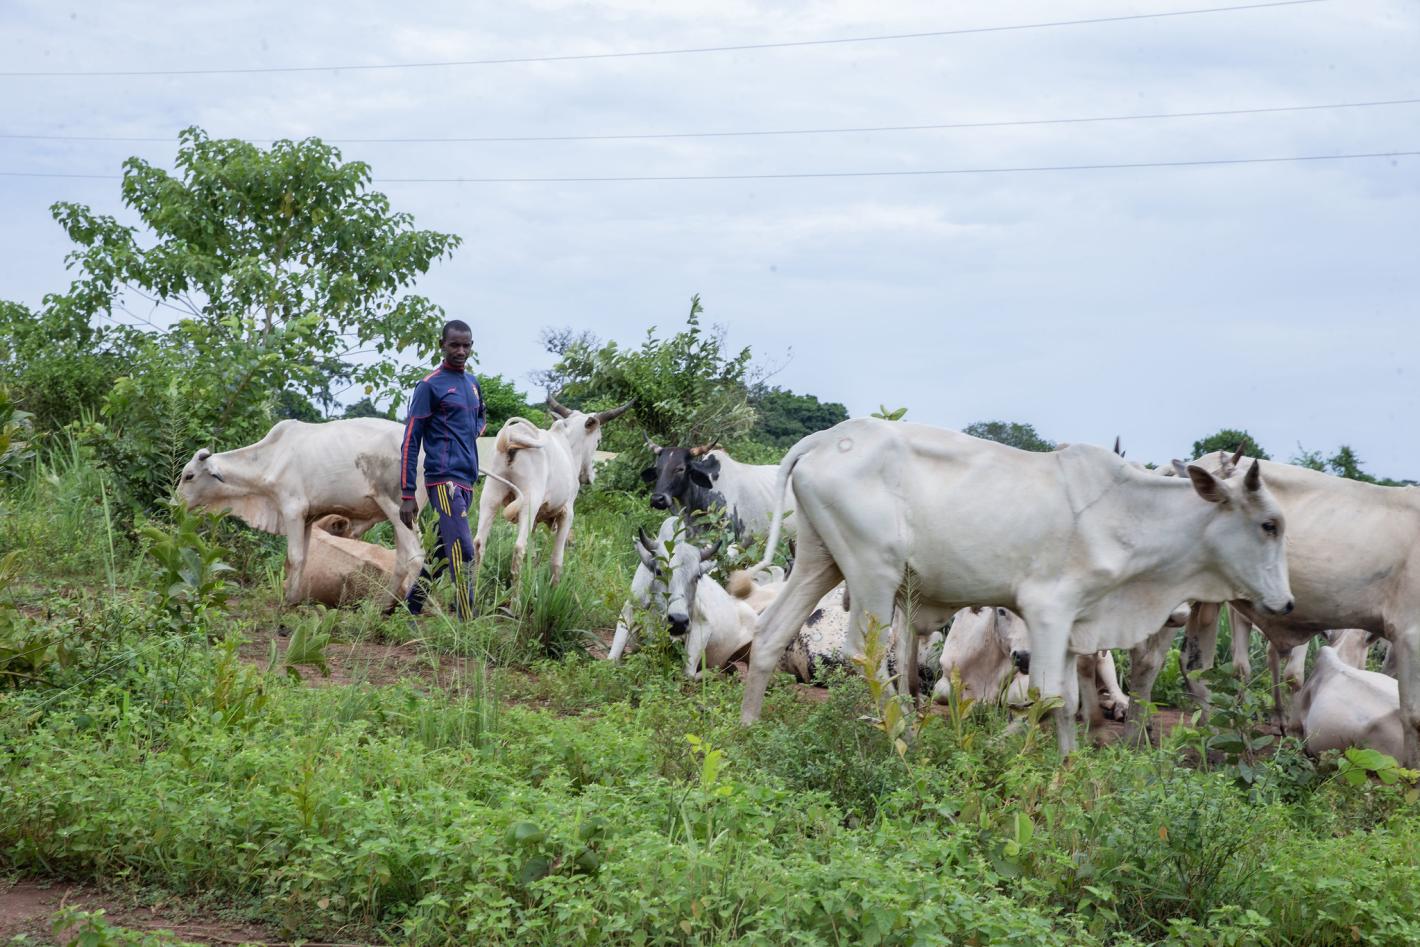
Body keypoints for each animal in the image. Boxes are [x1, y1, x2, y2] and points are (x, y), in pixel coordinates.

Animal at [178, 418, 427, 605]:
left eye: (189, 475)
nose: (176, 503)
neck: (272, 457)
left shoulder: (292, 509)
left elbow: (294, 556)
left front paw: (289, 600)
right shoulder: (309, 517)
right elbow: (303, 558)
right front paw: (295, 597)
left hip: (398, 509)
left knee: (416, 557)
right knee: (401, 560)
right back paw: (384, 605)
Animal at [473, 394, 633, 584]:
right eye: (599, 440)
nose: (589, 478)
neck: (569, 448)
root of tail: (510, 438)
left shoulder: (537, 519)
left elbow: (533, 555)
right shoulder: (567, 512)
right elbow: (557, 561)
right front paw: (554, 586)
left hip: (491, 494)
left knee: (479, 542)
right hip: (529, 501)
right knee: (519, 547)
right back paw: (515, 592)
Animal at [735, 418, 1294, 756]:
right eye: (1269, 524)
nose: (1286, 603)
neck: (1128, 514)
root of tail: (825, 438)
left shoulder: (1074, 625)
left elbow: (1068, 701)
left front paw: (1070, 766)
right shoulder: (1047, 610)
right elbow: (1048, 697)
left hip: (818, 560)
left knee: (770, 632)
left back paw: (749, 726)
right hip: (874, 572)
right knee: (865, 653)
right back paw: (903, 739)